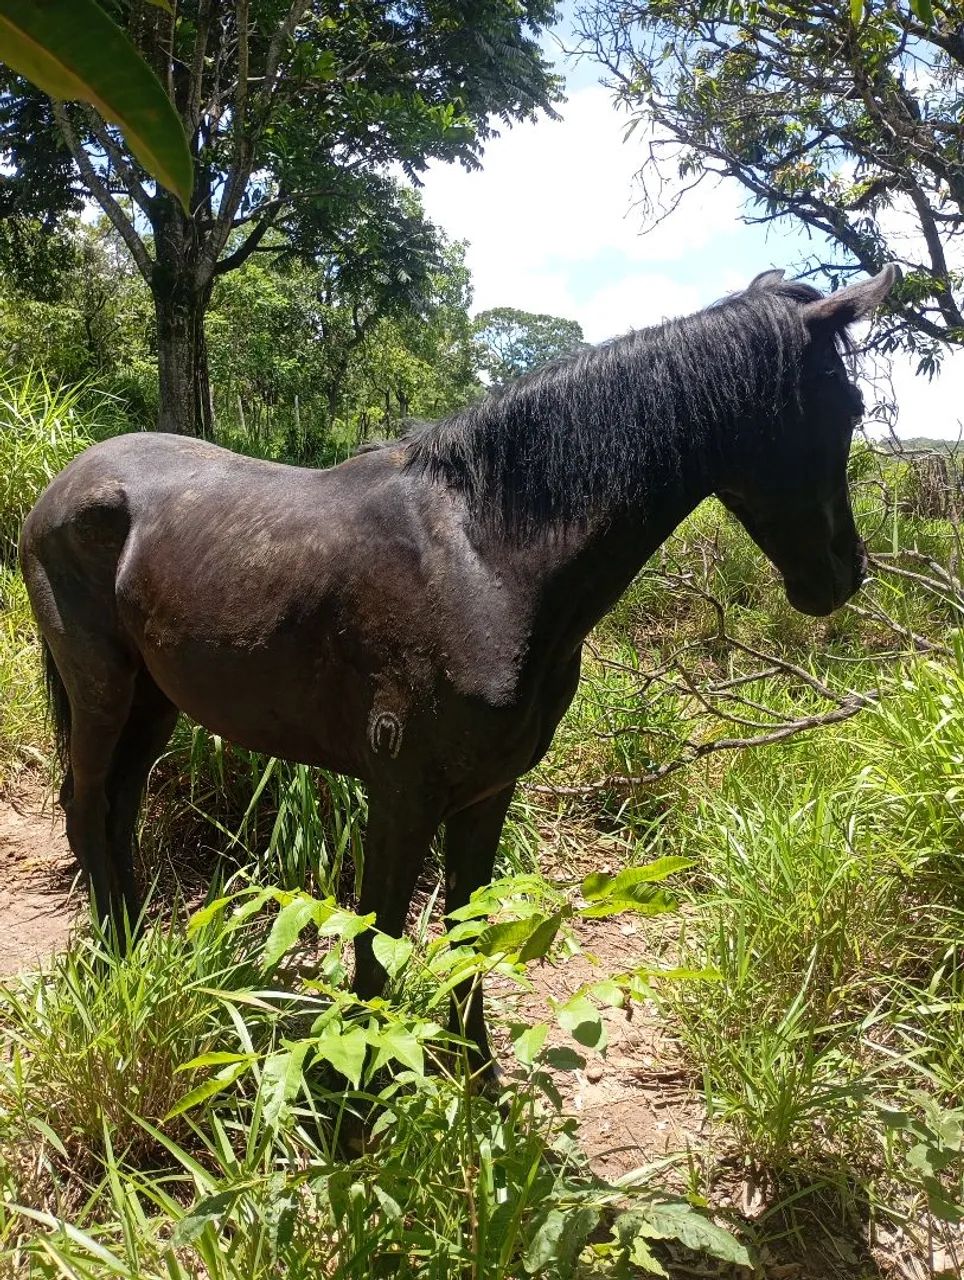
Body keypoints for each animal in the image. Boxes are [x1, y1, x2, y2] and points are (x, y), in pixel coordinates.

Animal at [19, 265, 897, 1073]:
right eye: (850, 407)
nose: (845, 574)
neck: (485, 560)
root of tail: (62, 486)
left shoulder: (487, 789)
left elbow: (468, 932)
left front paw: (476, 1077)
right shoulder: (401, 795)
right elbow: (375, 948)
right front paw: (358, 1103)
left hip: (155, 702)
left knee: (120, 808)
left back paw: (143, 950)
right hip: (103, 692)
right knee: (85, 805)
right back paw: (121, 967)